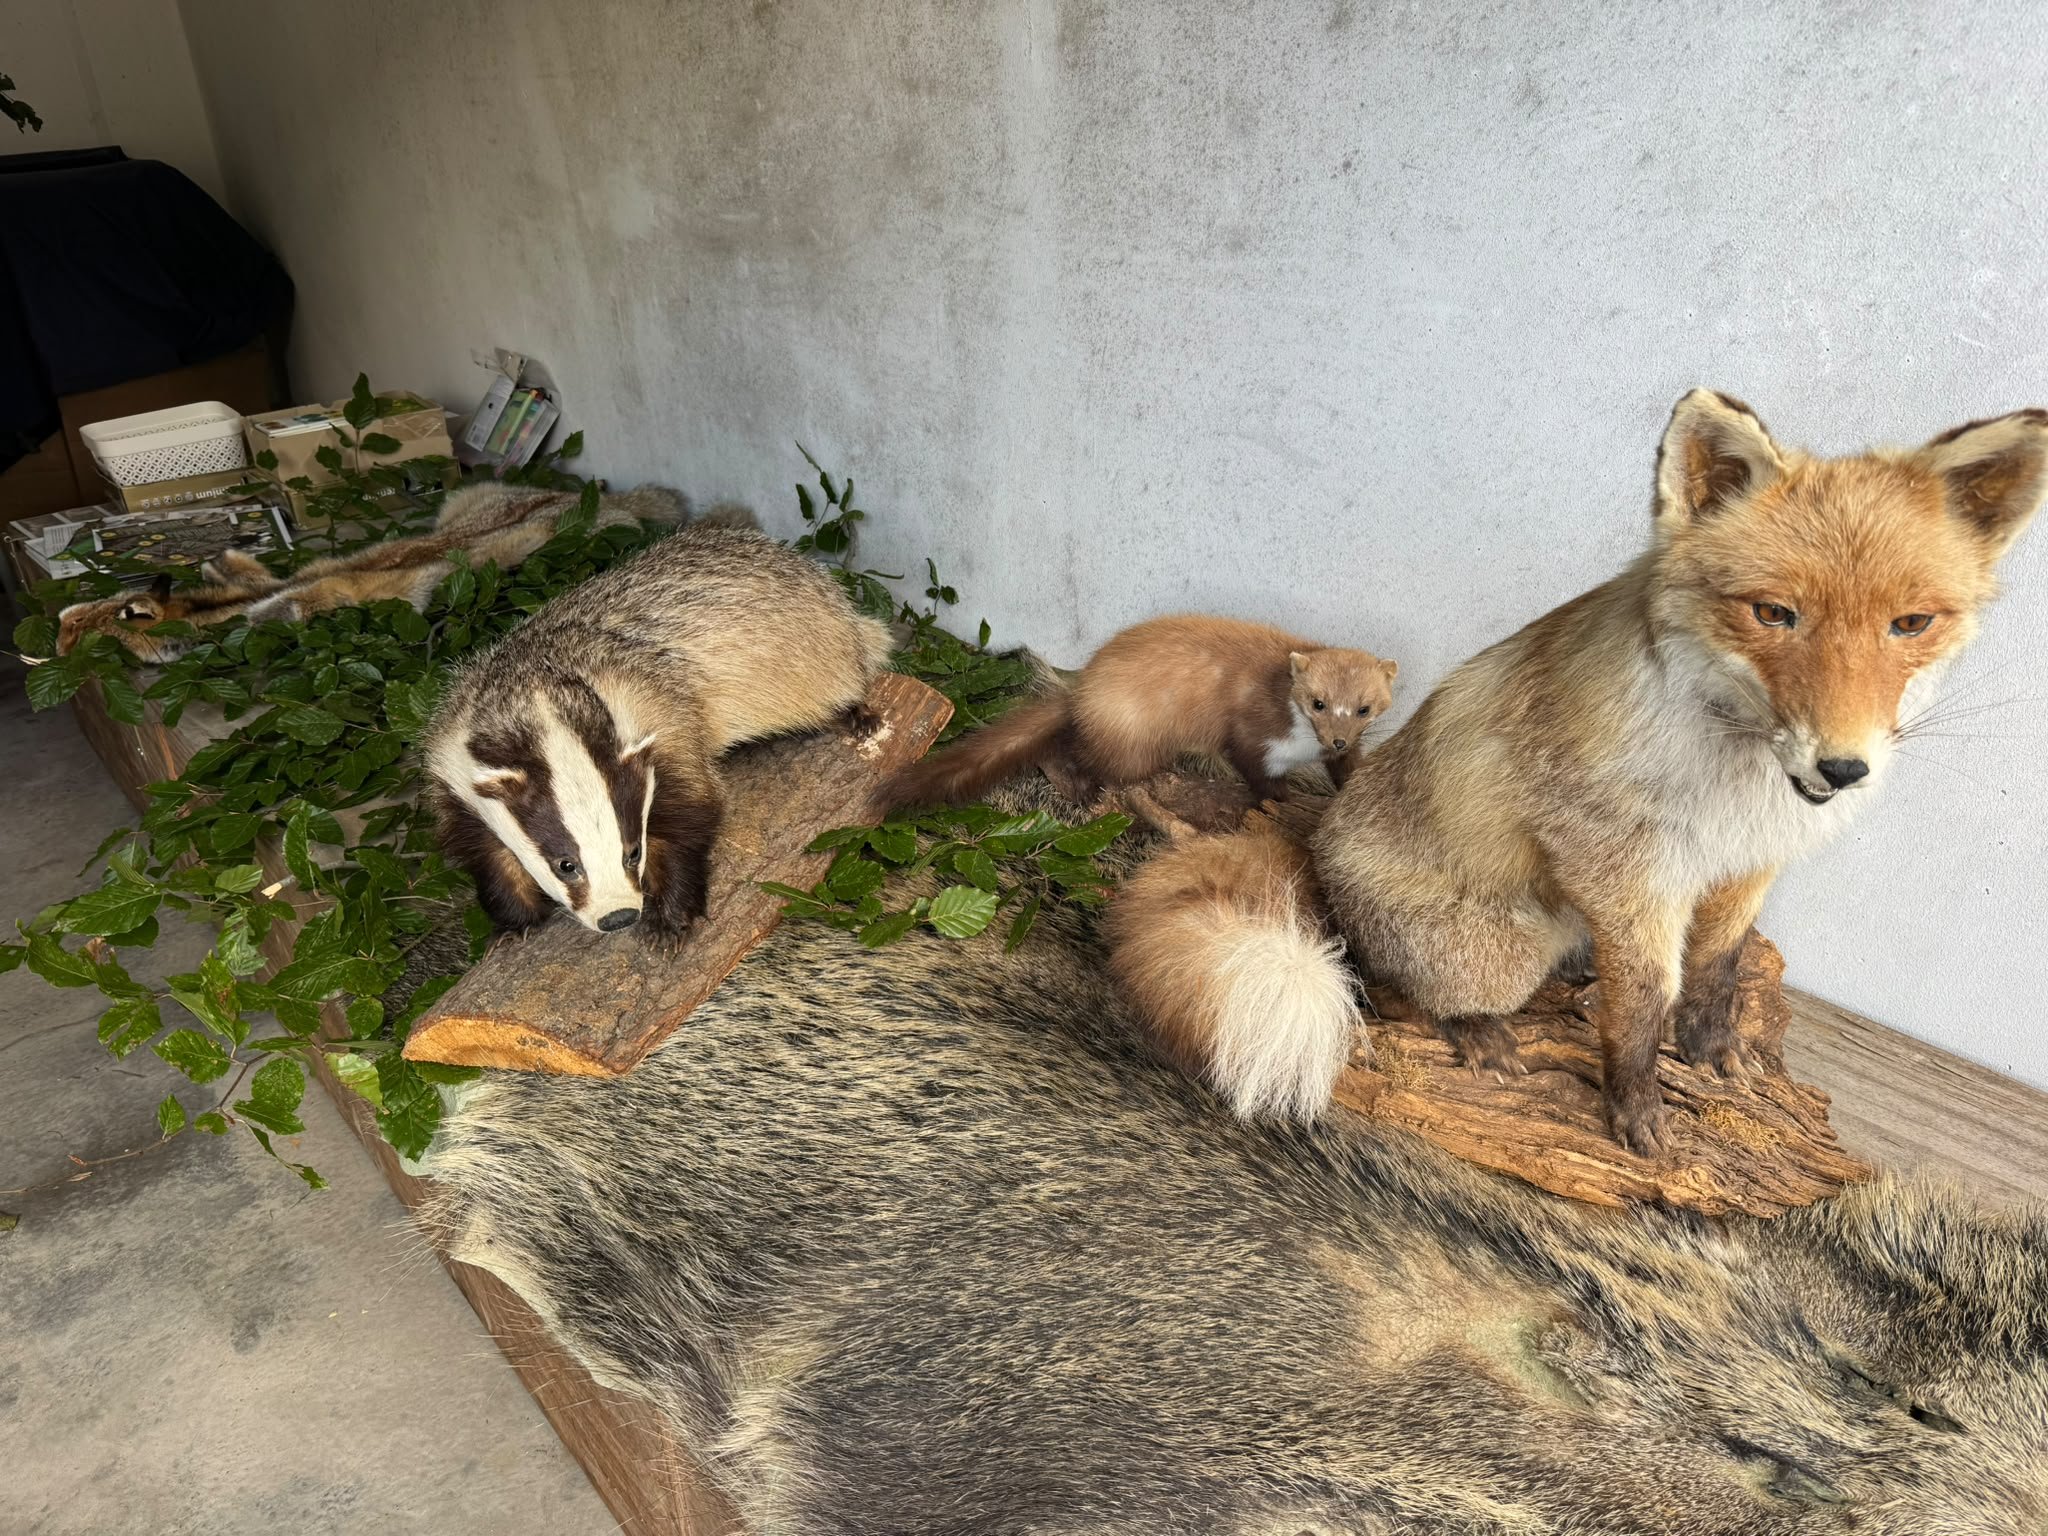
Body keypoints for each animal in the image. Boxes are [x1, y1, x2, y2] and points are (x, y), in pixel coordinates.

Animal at [881, 614, 1398, 810]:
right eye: (1317, 702)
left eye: (1364, 708)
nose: (1336, 738)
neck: (1303, 749)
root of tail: (1084, 689)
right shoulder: (1252, 735)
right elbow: (1257, 773)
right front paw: (1278, 799)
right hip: (1131, 741)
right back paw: (1082, 787)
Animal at [1312, 391, 2046, 1157]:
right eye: (1773, 613)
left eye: (1911, 623)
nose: (1843, 768)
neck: (1739, 789)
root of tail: (1324, 840)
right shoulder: (1624, 866)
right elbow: (1643, 999)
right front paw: (1635, 1105)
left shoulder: (1746, 862)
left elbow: (1716, 967)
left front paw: (1710, 1048)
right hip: (1496, 954)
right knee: (1381, 985)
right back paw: (1472, 1027)